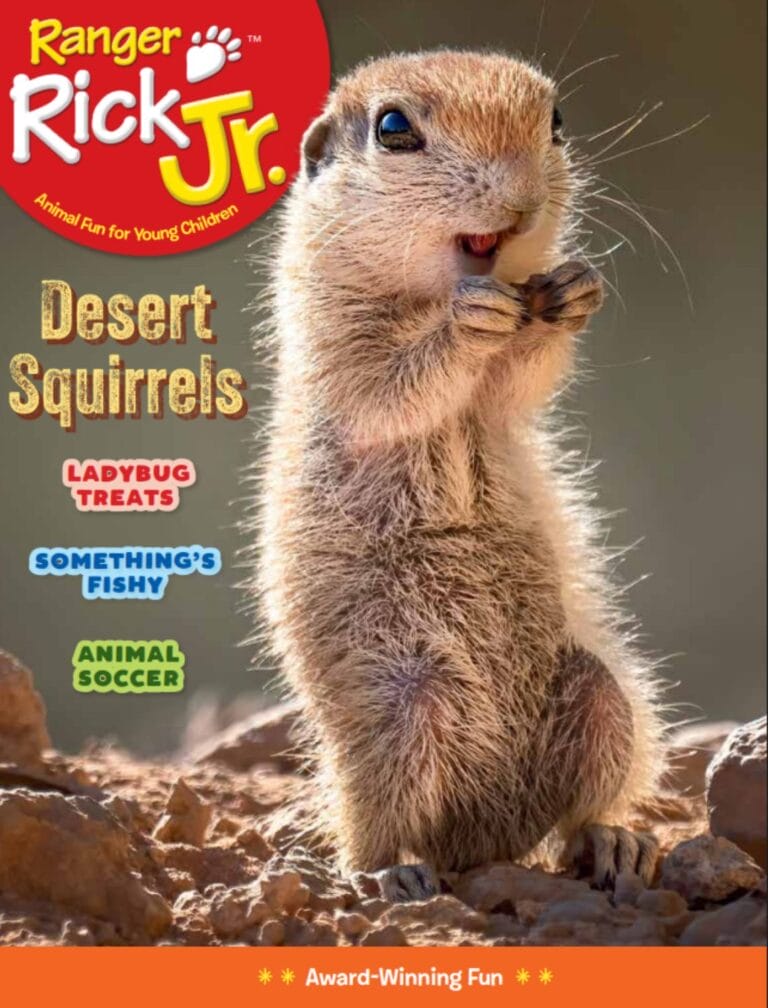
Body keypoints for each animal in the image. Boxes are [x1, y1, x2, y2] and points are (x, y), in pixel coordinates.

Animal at [257, 50, 665, 900]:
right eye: (393, 128)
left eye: (556, 121)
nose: (520, 198)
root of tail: (489, 831)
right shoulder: (336, 344)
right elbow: (388, 387)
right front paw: (463, 327)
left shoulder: (502, 393)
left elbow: (519, 382)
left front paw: (574, 290)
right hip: (401, 715)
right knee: (381, 821)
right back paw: (393, 874)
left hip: (602, 697)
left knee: (573, 819)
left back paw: (613, 842)